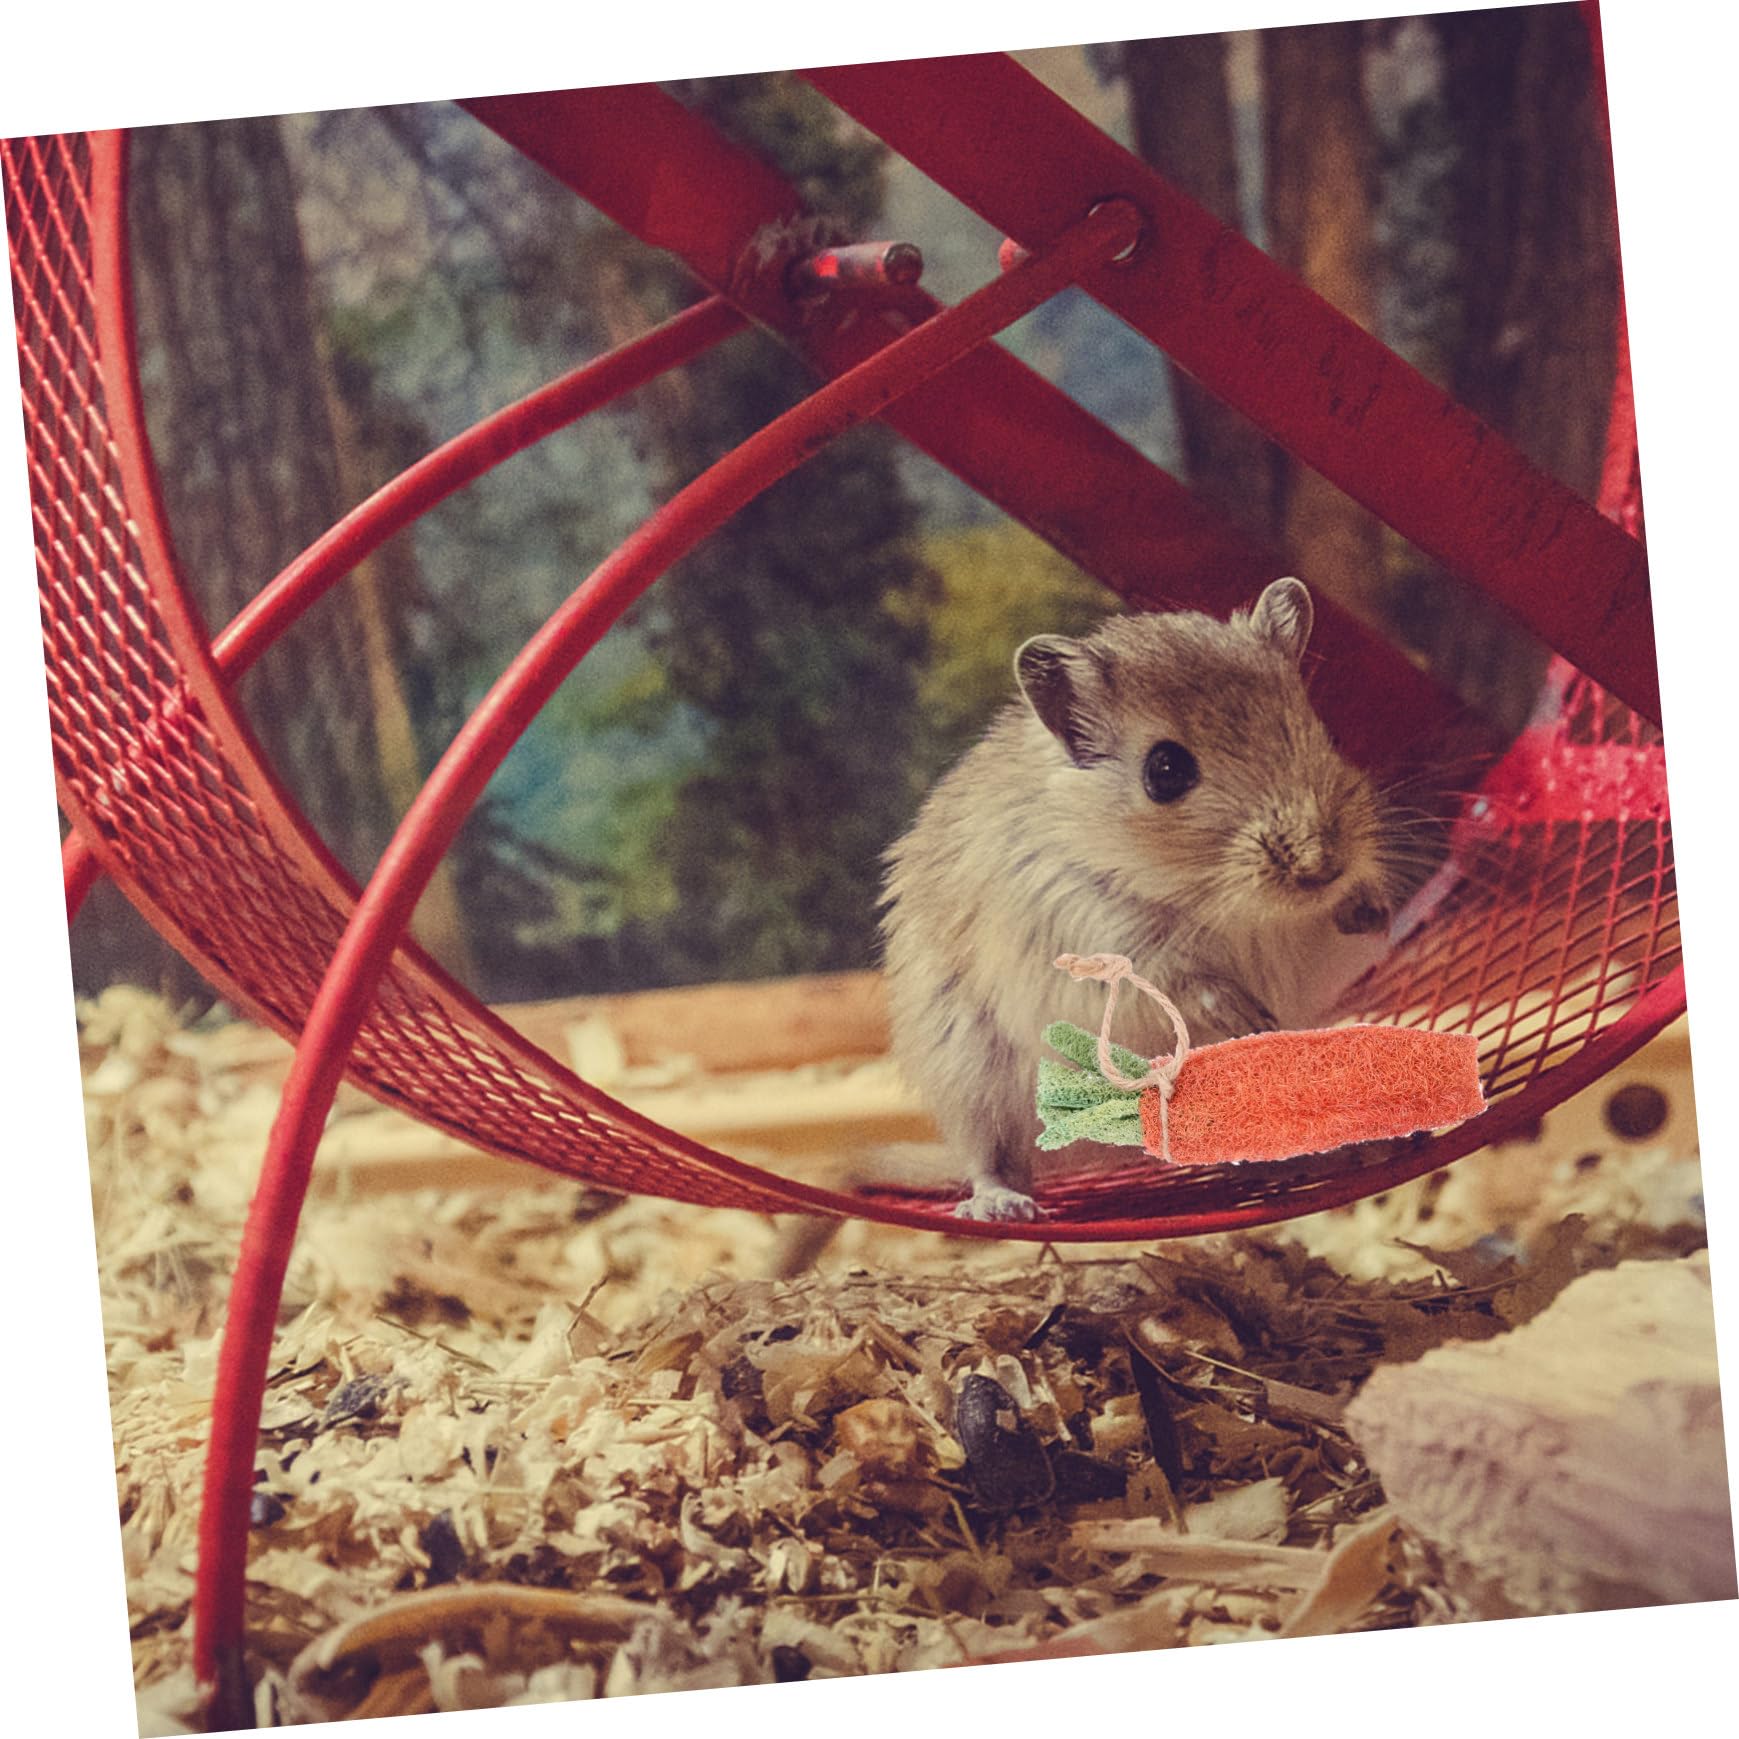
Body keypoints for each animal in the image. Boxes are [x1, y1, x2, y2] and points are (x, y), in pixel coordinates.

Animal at [878, 577, 1409, 1222]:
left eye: (1322, 734)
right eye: (1165, 771)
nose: (1322, 867)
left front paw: (1372, 913)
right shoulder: (1092, 932)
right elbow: (1178, 978)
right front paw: (1248, 1015)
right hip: (972, 1073)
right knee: (993, 1157)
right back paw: (1003, 1206)